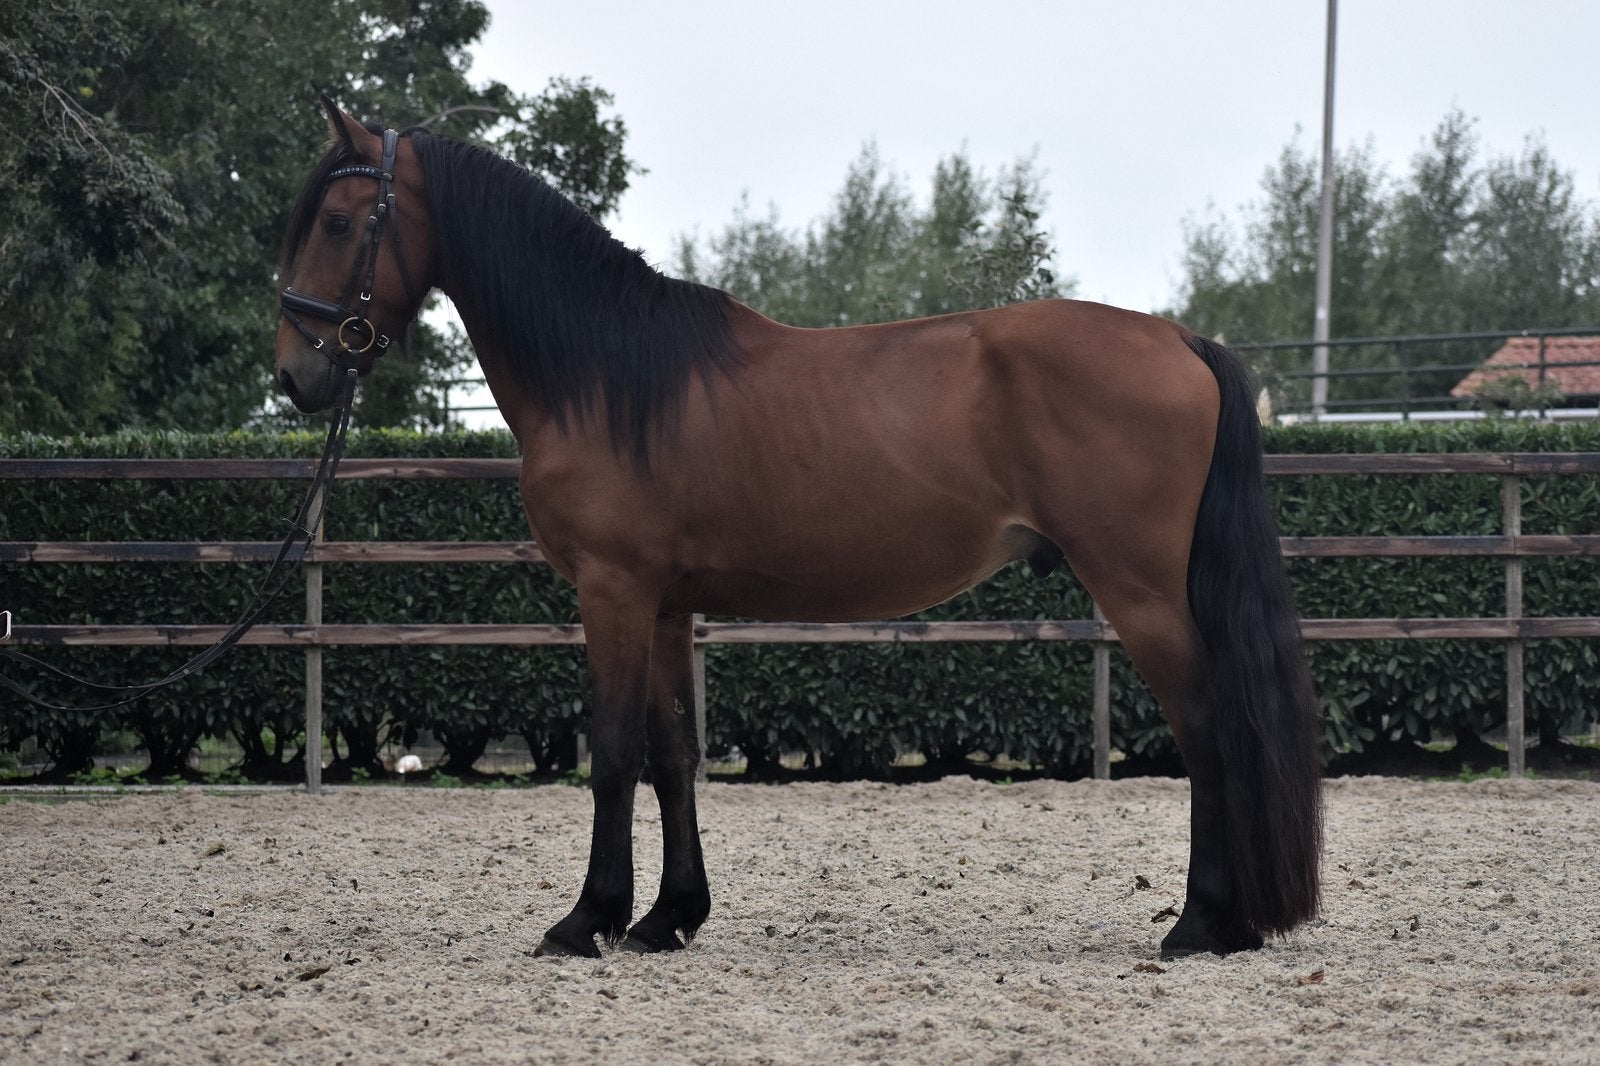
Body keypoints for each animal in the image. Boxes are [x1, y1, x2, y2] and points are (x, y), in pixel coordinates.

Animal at [275, 98, 1323, 961]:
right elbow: (673, 754)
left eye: (338, 221)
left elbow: (611, 752)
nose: (295, 374)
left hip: (1138, 590)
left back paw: (1202, 924)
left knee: (1206, 728)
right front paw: (667, 919)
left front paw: (585, 922)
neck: (608, 374)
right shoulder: (665, 607)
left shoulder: (612, 592)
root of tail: (1178, 339)